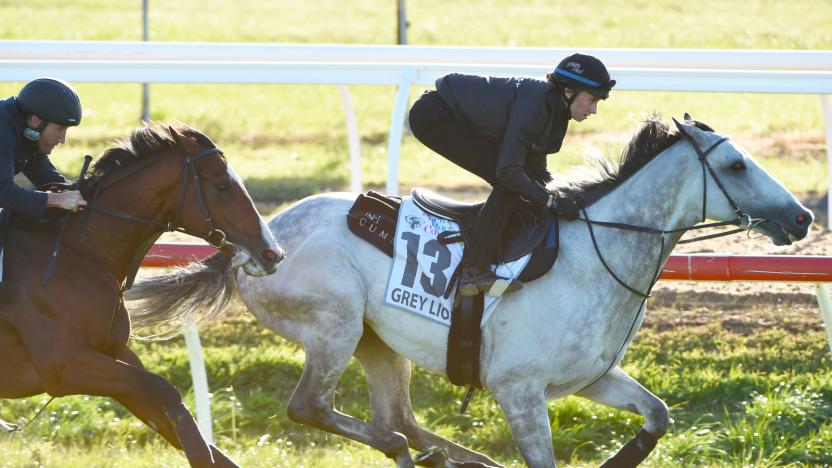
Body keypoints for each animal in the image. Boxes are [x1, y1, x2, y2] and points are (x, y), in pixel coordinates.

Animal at [0, 122, 282, 466]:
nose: (272, 253)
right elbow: (165, 391)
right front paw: (200, 453)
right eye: (222, 186)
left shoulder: (113, 354)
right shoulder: (65, 367)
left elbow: (164, 414)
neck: (80, 252)